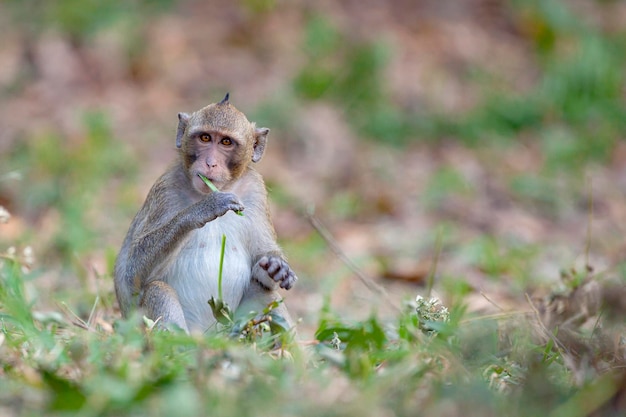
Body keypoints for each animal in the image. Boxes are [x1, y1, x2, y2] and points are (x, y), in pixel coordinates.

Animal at [114, 93, 294, 332]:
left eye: (226, 142)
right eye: (205, 138)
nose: (210, 163)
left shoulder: (256, 190)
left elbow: (263, 260)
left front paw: (275, 268)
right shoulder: (165, 189)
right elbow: (131, 275)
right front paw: (202, 210)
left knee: (267, 295)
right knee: (158, 289)